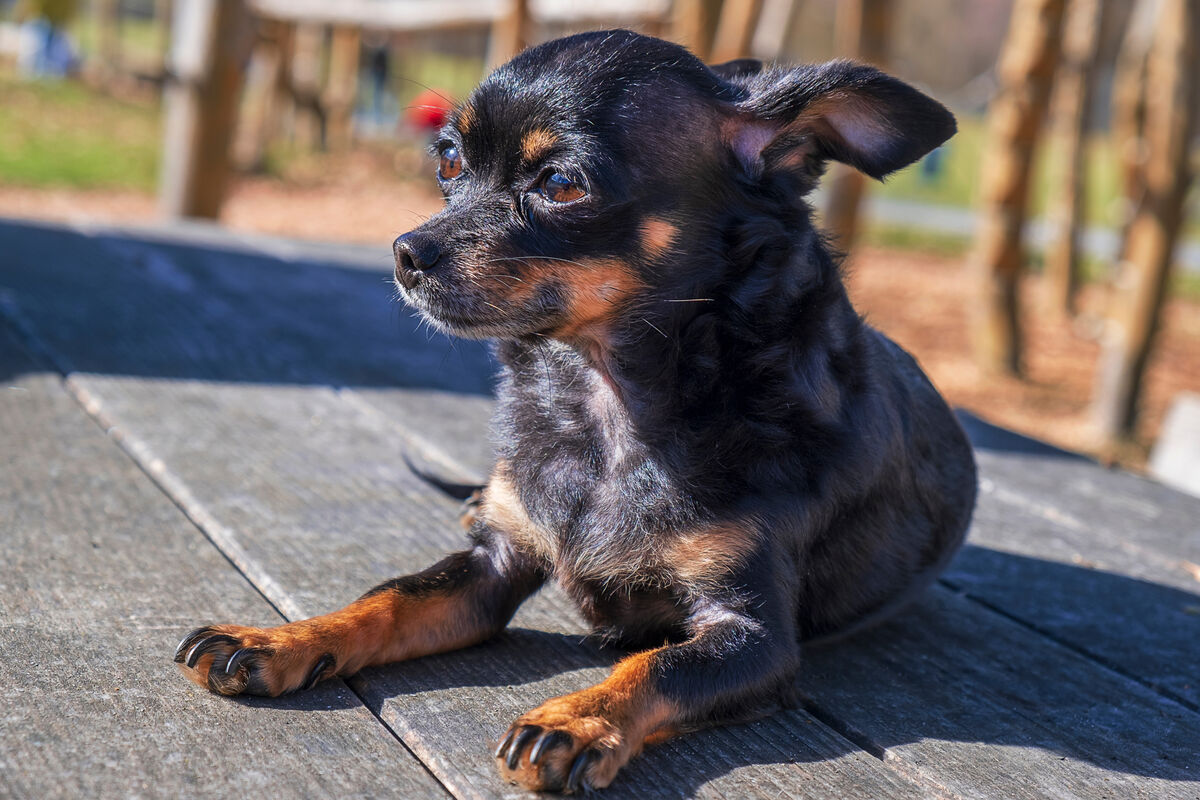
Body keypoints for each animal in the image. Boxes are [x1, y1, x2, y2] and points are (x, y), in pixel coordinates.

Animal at [180, 31, 984, 796]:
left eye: (562, 184)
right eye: (449, 163)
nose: (407, 251)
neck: (602, 403)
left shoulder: (753, 637)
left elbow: (657, 666)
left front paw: (574, 719)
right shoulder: (492, 570)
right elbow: (388, 598)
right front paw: (278, 639)